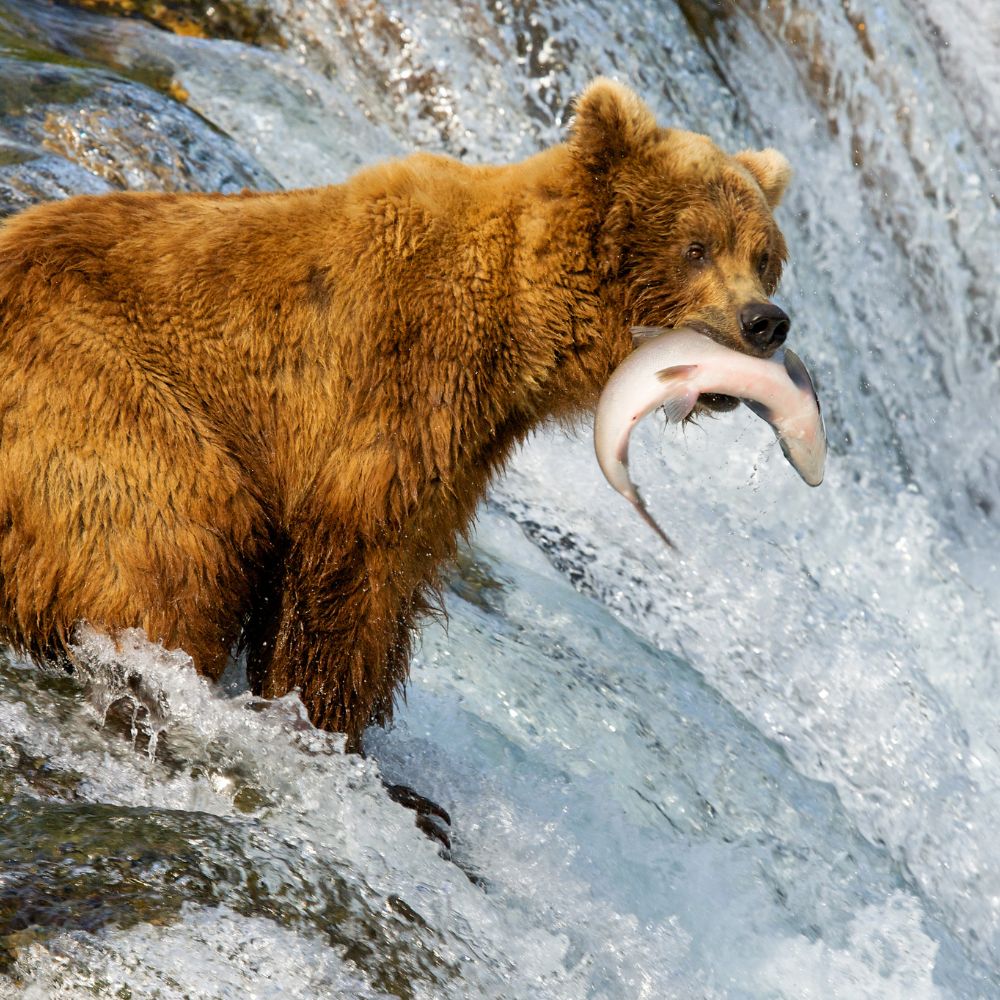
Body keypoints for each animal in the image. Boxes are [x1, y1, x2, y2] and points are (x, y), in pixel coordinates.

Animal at [0, 78, 788, 748]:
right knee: (181, 535)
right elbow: (355, 560)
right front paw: (324, 719)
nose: (765, 322)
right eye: (696, 246)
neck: (521, 327)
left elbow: (399, 566)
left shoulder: (466, 443)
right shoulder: (404, 377)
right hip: (98, 385)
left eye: (763, 256)